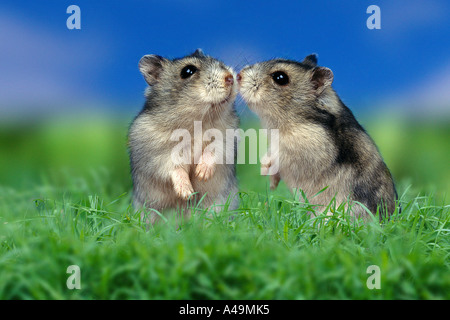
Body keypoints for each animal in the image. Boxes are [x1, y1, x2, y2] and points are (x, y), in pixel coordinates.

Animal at [128, 50, 241, 224]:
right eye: (188, 71)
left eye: (215, 60)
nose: (230, 77)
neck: (198, 120)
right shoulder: (157, 153)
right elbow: (174, 167)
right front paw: (187, 193)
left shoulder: (226, 139)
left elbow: (213, 151)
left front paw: (201, 174)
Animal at [237, 55, 400, 220]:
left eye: (280, 78)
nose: (238, 76)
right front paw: (271, 185)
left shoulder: (303, 147)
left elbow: (277, 156)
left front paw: (264, 171)